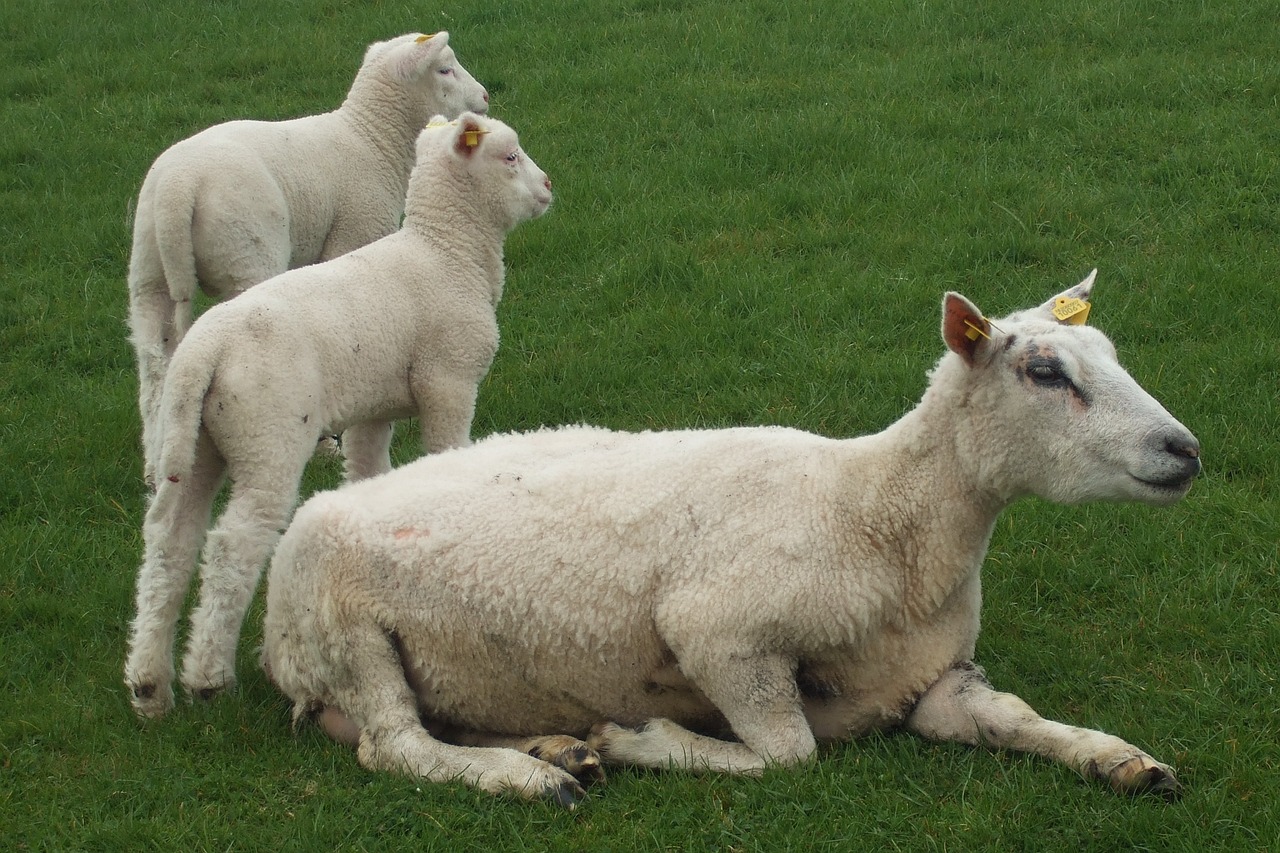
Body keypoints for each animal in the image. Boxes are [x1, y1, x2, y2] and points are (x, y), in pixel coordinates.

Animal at [127, 33, 488, 484]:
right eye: (444, 69)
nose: (484, 98)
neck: (371, 138)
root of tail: (178, 188)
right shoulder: (355, 234)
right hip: (246, 251)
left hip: (148, 269)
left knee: (153, 363)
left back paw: (153, 463)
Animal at [257, 270, 1198, 804]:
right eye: (1044, 371)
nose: (1185, 450)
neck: (875, 514)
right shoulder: (722, 634)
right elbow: (789, 754)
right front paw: (644, 739)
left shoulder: (933, 676)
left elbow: (1014, 718)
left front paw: (1121, 760)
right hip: (347, 633)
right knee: (396, 746)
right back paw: (533, 776)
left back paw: (554, 745)